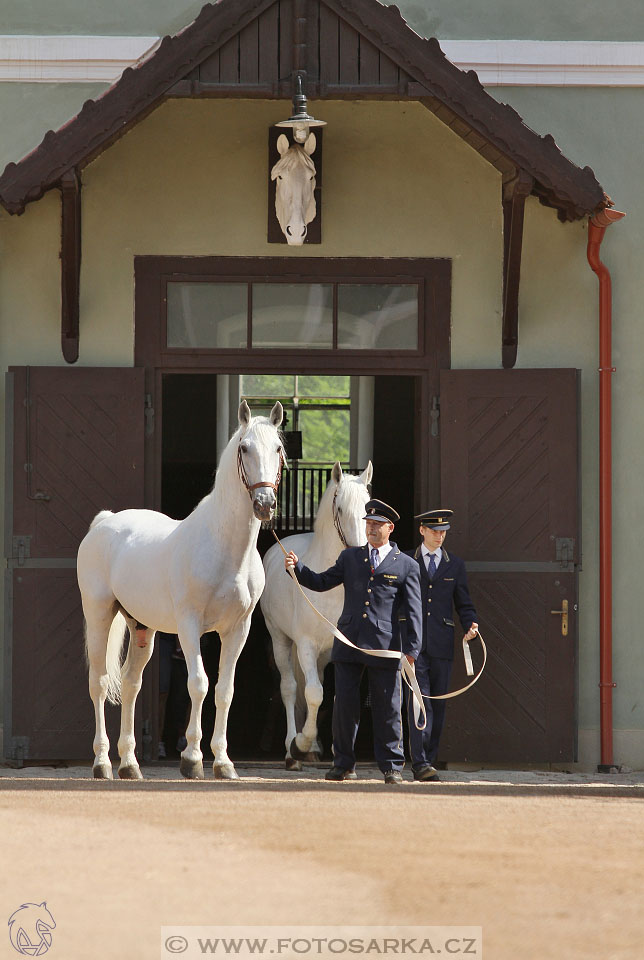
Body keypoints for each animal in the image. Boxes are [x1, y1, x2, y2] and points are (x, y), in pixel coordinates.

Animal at [76, 398, 284, 780]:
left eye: (277, 448)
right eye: (245, 447)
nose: (265, 504)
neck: (224, 549)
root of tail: (105, 522)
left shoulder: (238, 629)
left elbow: (225, 690)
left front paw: (224, 762)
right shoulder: (190, 626)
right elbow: (198, 684)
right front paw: (192, 759)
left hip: (141, 627)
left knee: (131, 682)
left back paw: (130, 764)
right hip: (99, 615)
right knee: (98, 682)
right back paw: (102, 764)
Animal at [260, 462, 372, 768]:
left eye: (368, 509)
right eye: (340, 509)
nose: (360, 553)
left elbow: (337, 698)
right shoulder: (306, 645)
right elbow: (313, 694)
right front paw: (301, 743)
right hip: (281, 640)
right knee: (290, 688)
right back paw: (292, 749)